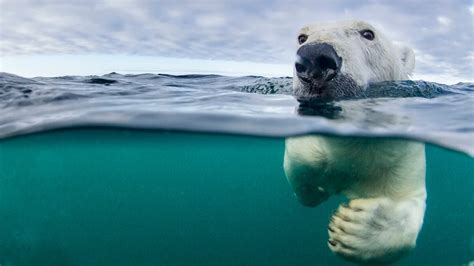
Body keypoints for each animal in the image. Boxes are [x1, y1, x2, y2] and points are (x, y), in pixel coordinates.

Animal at [284, 20, 428, 264]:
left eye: (368, 33)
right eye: (302, 37)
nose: (314, 58)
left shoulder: (403, 154)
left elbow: (408, 199)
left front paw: (355, 228)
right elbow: (301, 161)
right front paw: (316, 186)